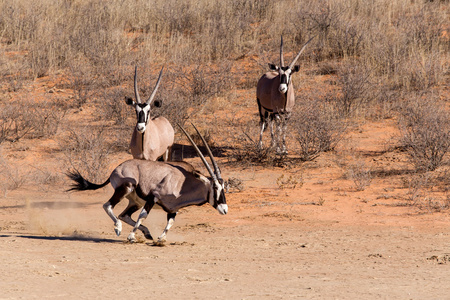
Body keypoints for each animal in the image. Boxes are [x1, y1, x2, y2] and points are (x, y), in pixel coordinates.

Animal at [66, 123, 229, 243]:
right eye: (215, 187)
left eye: (224, 188)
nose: (225, 210)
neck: (184, 181)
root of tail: (117, 168)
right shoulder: (153, 197)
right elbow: (143, 215)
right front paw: (131, 236)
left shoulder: (172, 209)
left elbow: (170, 223)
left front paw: (160, 239)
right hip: (127, 187)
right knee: (108, 206)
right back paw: (118, 228)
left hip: (135, 202)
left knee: (123, 215)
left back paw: (147, 233)